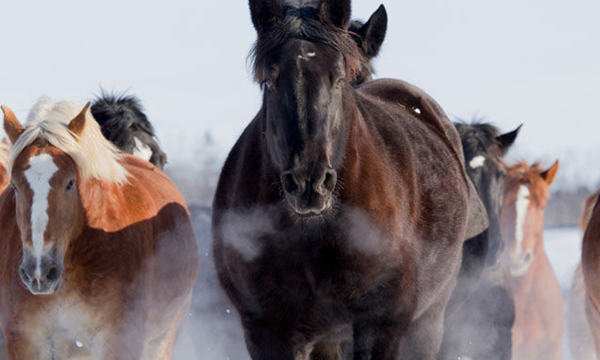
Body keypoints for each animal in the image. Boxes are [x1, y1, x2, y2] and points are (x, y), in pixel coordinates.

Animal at [0, 100, 198, 360]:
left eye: (70, 183)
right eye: (14, 184)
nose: (39, 272)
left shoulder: (119, 342)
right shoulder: (25, 341)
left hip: (160, 341)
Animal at [211, 0, 488, 360]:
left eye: (339, 77)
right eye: (269, 80)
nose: (310, 183)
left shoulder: (380, 323)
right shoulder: (268, 331)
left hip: (428, 322)